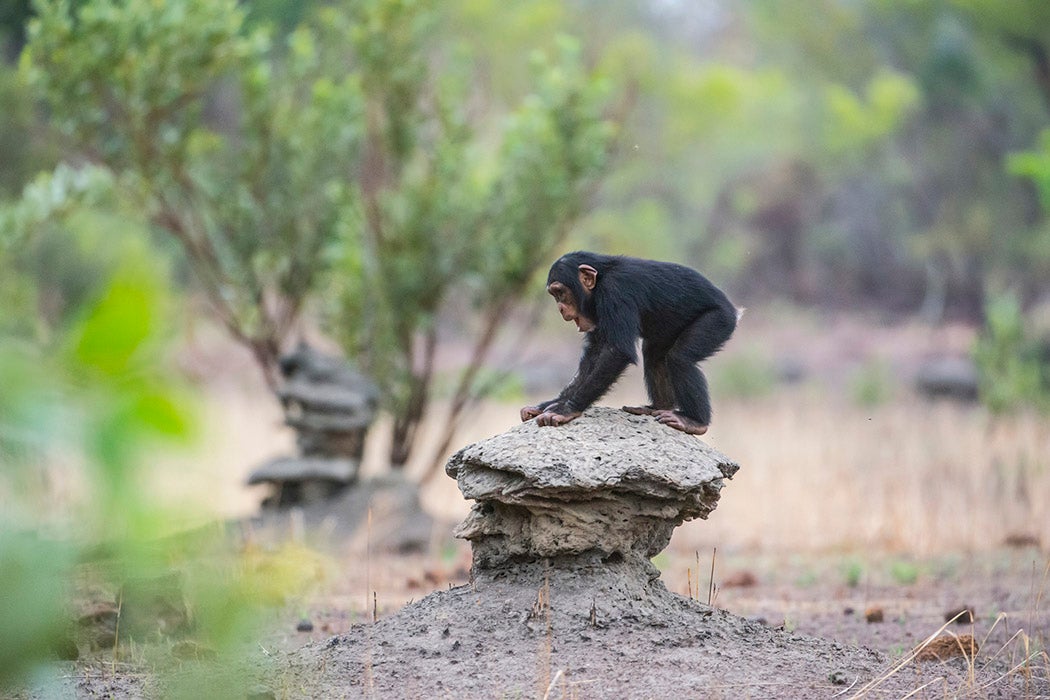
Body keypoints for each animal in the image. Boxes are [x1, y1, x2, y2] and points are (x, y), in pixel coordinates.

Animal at [518, 251, 739, 434]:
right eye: (554, 294)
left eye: (560, 292)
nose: (560, 308)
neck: (600, 282)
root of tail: (733, 309)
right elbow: (593, 355)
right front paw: (551, 403)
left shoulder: (615, 292)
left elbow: (616, 352)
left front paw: (566, 409)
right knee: (654, 355)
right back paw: (658, 407)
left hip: (719, 319)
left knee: (681, 358)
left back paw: (694, 422)